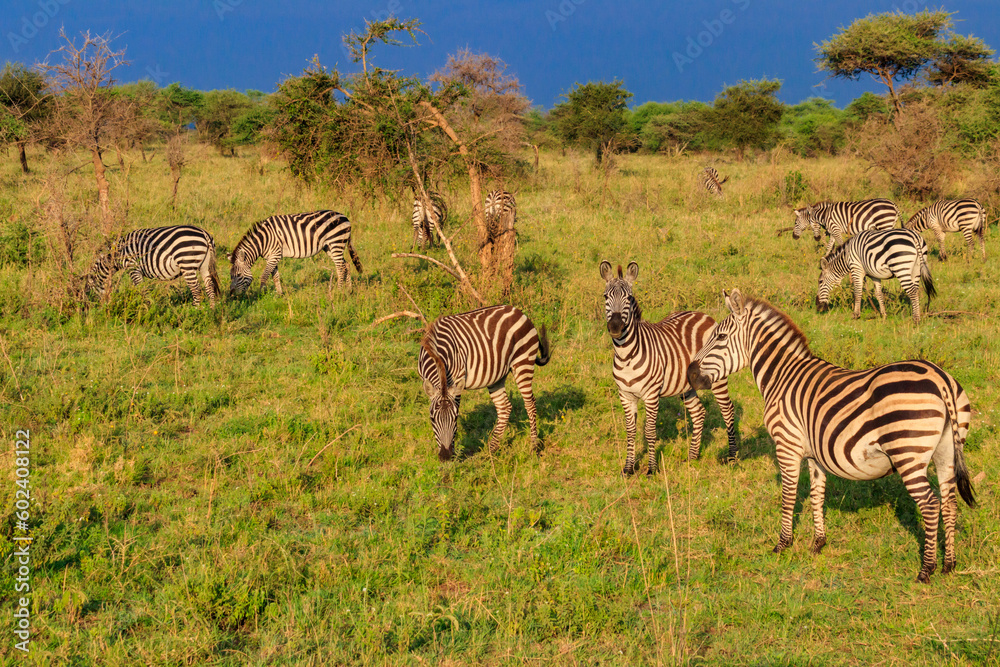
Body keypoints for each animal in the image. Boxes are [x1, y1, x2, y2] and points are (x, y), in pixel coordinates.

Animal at [86, 225, 221, 306]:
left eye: (89, 292)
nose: (102, 306)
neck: (118, 253)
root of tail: (204, 233)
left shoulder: (133, 267)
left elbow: (140, 289)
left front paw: (144, 306)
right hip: (204, 265)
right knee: (209, 285)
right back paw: (211, 310)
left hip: (187, 263)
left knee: (196, 289)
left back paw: (194, 310)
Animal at [228, 210, 362, 297]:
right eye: (231, 276)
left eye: (238, 275)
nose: (232, 295)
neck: (263, 240)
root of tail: (345, 217)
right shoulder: (272, 257)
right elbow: (275, 276)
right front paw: (279, 294)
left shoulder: (275, 255)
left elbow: (264, 275)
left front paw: (261, 293)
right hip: (329, 247)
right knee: (346, 265)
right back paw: (349, 290)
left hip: (336, 243)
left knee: (341, 268)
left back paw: (338, 291)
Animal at [418, 305, 551, 461]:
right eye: (432, 419)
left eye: (455, 418)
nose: (445, 456)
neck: (436, 355)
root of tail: (518, 312)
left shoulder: (458, 379)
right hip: (497, 375)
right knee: (504, 407)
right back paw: (492, 450)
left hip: (523, 362)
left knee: (530, 404)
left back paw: (534, 447)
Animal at [600, 261, 737, 475]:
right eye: (606, 297)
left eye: (629, 298)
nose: (615, 327)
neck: (626, 355)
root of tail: (703, 314)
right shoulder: (625, 395)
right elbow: (630, 431)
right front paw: (628, 468)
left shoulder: (651, 395)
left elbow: (649, 431)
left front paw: (651, 469)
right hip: (687, 384)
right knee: (698, 413)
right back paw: (692, 456)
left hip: (718, 379)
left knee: (728, 410)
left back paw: (732, 457)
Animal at [687, 289, 977, 583]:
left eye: (720, 337)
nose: (690, 374)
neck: (782, 376)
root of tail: (940, 379)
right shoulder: (815, 453)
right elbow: (817, 494)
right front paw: (818, 543)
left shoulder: (786, 445)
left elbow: (789, 495)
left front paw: (782, 544)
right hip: (946, 451)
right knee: (950, 502)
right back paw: (949, 564)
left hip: (908, 453)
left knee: (930, 505)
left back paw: (926, 570)